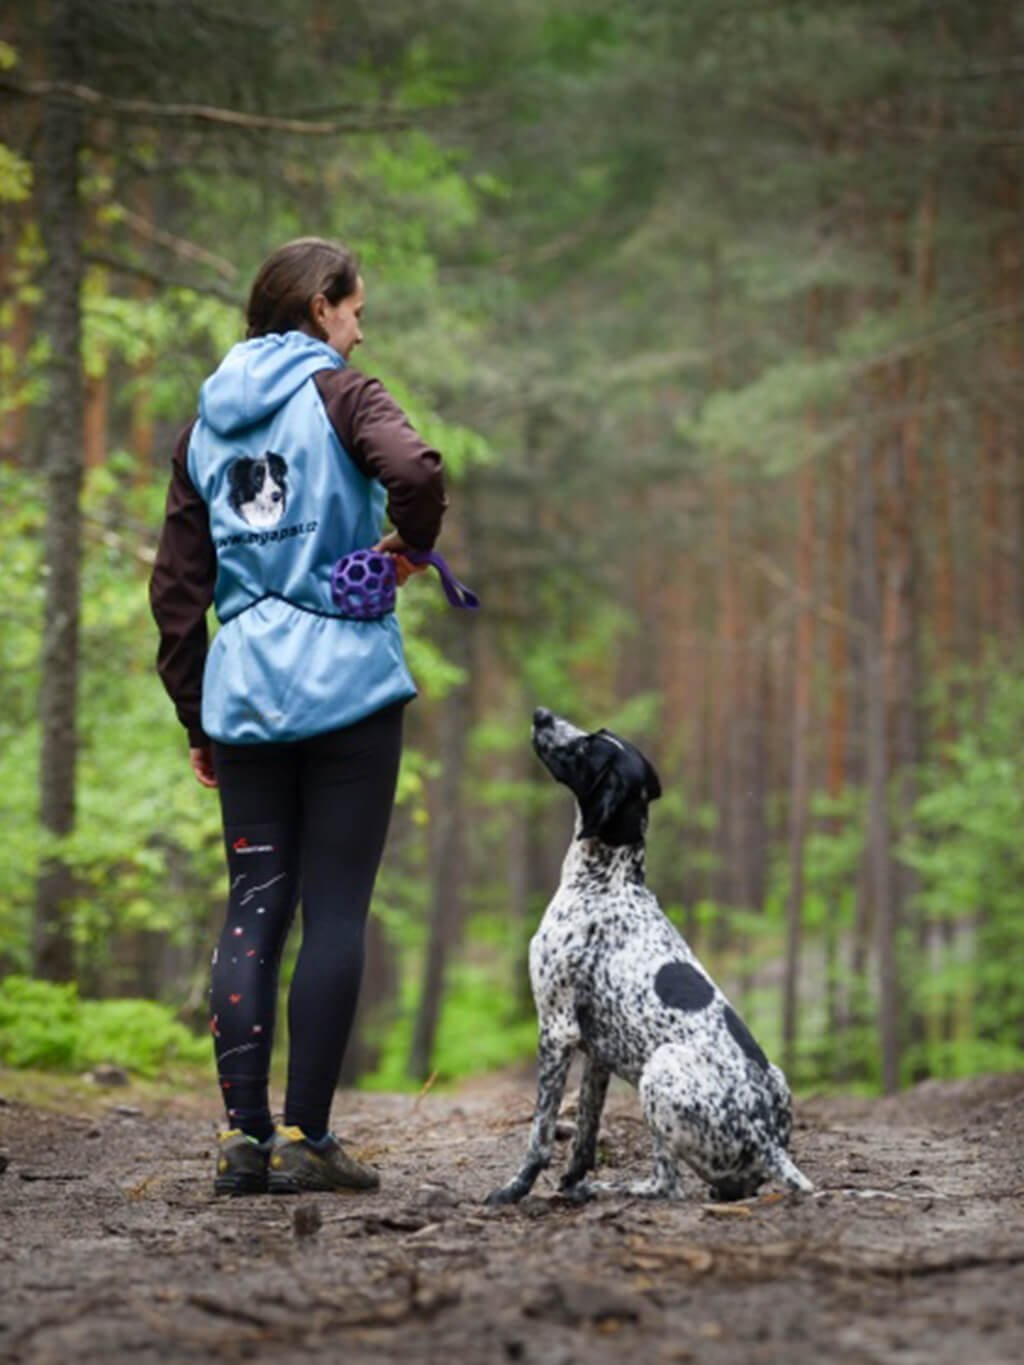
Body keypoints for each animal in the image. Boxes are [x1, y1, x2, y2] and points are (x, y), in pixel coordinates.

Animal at [486, 709, 813, 1201]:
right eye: (597, 733)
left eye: (587, 746)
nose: (541, 714)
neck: (608, 881)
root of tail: (766, 1138)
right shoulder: (597, 1052)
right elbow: (584, 1135)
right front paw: (570, 1182)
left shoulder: (557, 1029)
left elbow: (540, 1133)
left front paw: (516, 1189)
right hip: (766, 1077)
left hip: (657, 1069)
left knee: (667, 1185)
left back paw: (614, 1189)